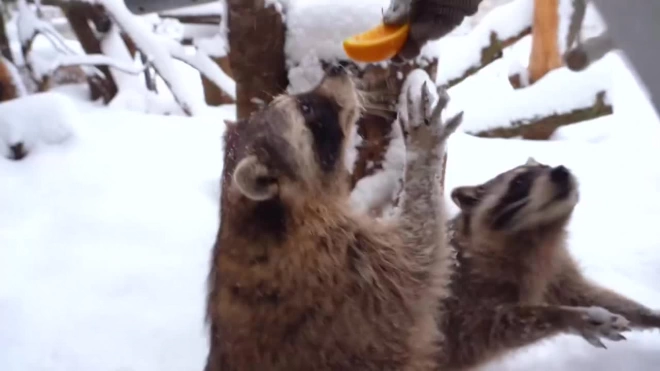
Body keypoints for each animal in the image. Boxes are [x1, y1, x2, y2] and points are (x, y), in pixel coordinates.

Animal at [434, 158, 648, 370]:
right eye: (519, 181)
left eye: (546, 166)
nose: (560, 171)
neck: (541, 232)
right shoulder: (462, 292)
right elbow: (489, 331)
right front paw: (569, 316)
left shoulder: (558, 271)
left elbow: (587, 294)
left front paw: (648, 314)